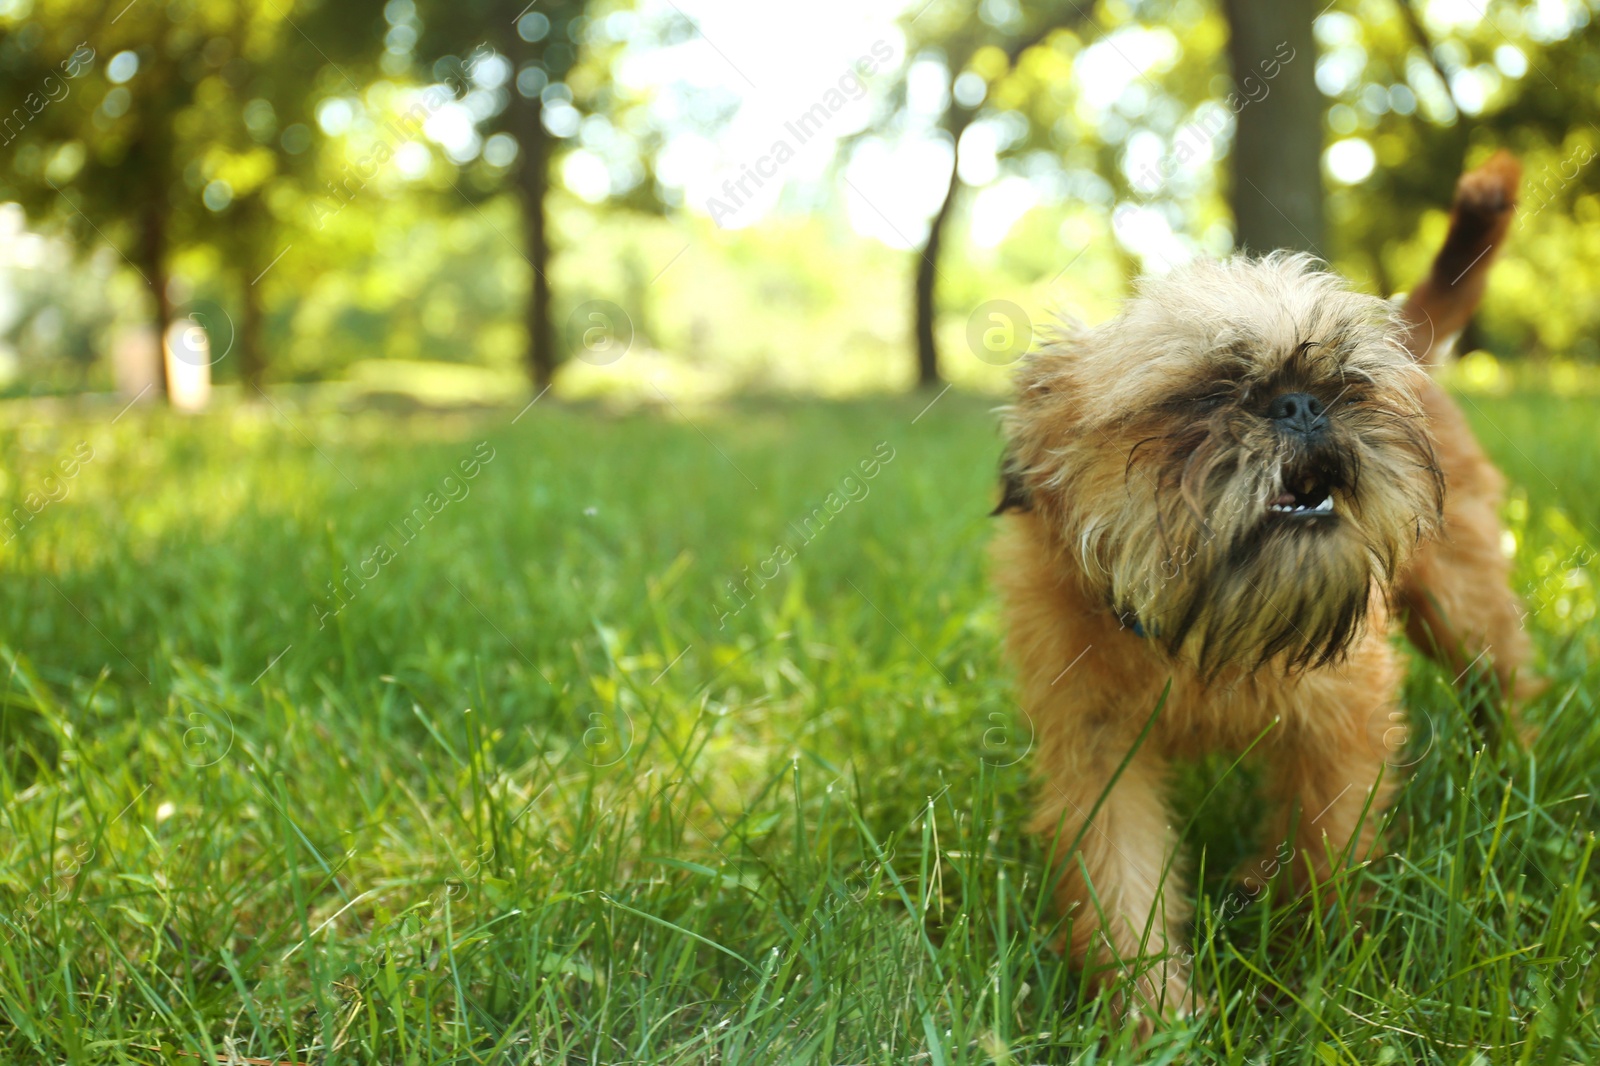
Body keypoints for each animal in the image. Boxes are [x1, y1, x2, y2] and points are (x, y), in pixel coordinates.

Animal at [998, 153, 1536, 1024]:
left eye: (1346, 383)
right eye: (1207, 394)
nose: (1303, 403)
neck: (1197, 625)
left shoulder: (1342, 729)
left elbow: (1325, 845)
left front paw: (1306, 966)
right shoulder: (1099, 758)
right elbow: (1122, 889)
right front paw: (1153, 1018)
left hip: (1464, 605)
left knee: (1504, 680)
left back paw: (1515, 767)